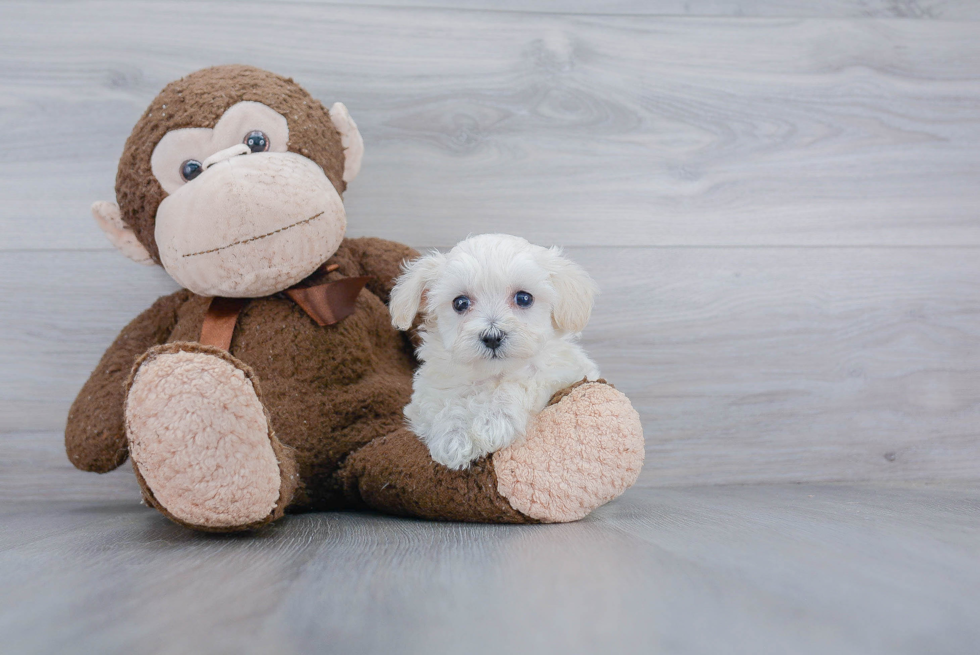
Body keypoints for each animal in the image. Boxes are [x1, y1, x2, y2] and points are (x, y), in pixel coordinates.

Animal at [388, 236, 600, 472]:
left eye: (524, 298)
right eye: (460, 303)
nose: (492, 337)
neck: (492, 373)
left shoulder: (560, 372)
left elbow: (521, 383)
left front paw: (492, 422)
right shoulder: (425, 396)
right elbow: (443, 404)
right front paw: (454, 437)